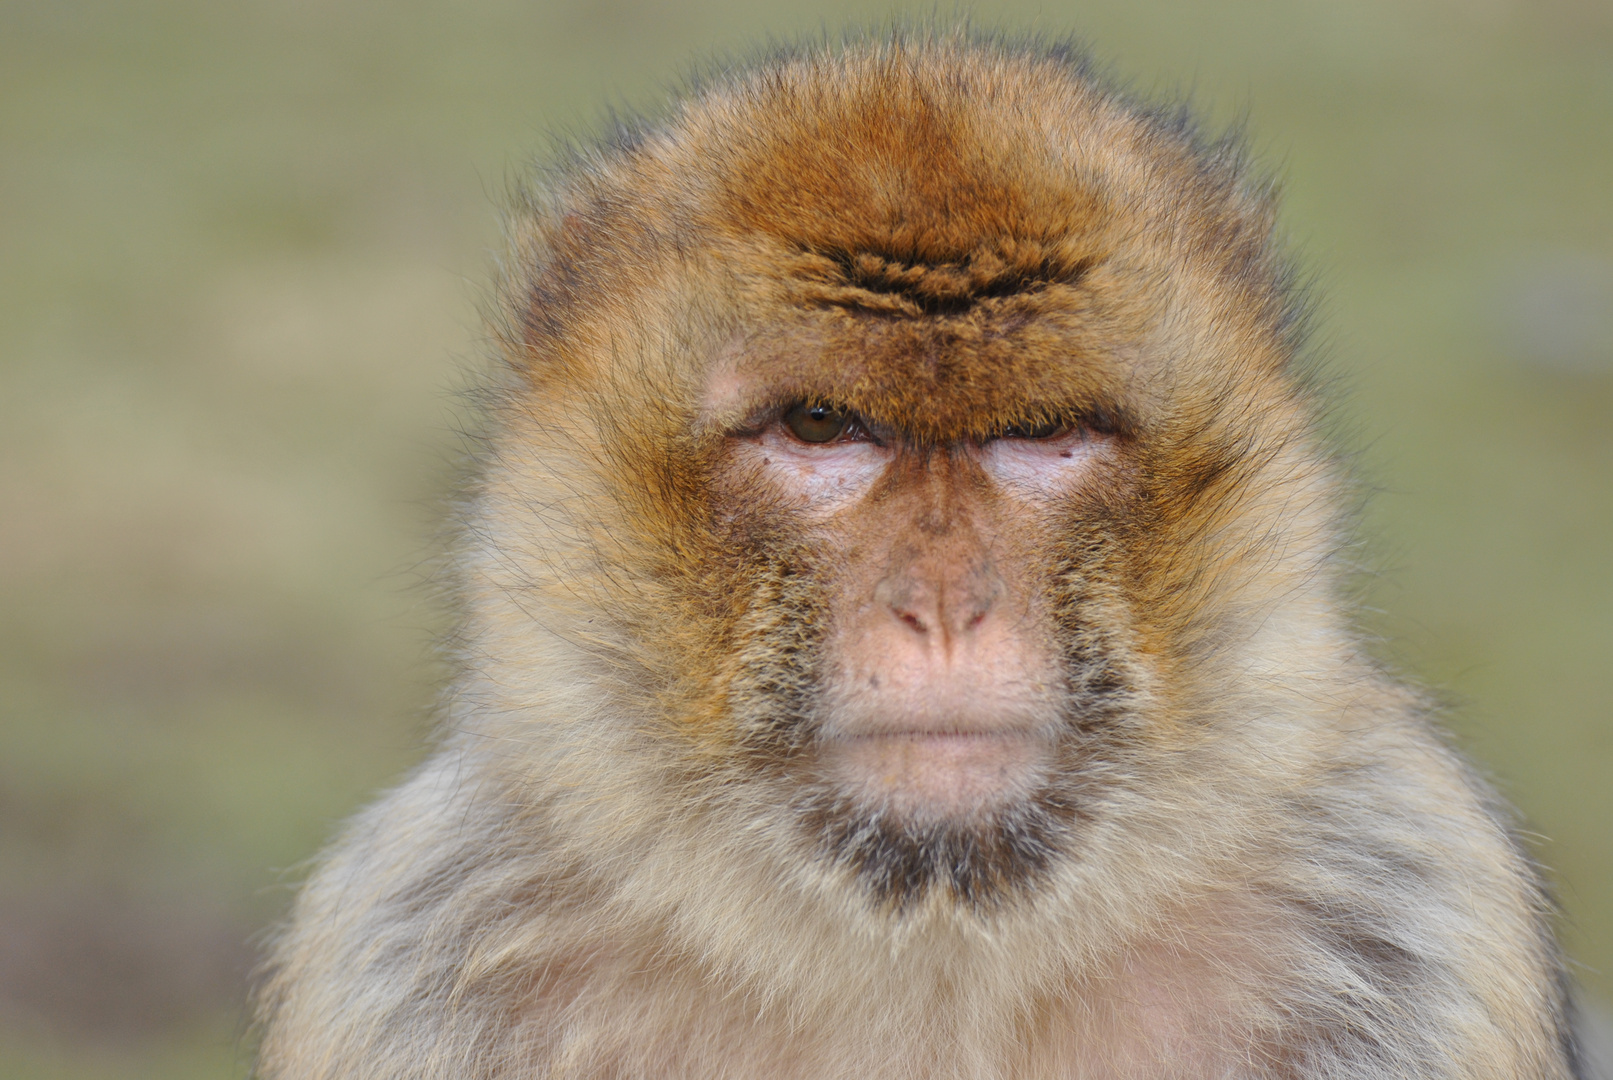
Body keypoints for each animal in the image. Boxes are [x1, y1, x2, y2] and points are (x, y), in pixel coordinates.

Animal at [251, 33, 1587, 1080]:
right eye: (820, 427)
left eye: (1040, 434)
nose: (943, 607)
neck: (930, 949)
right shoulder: (413, 946)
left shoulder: (1406, 910)